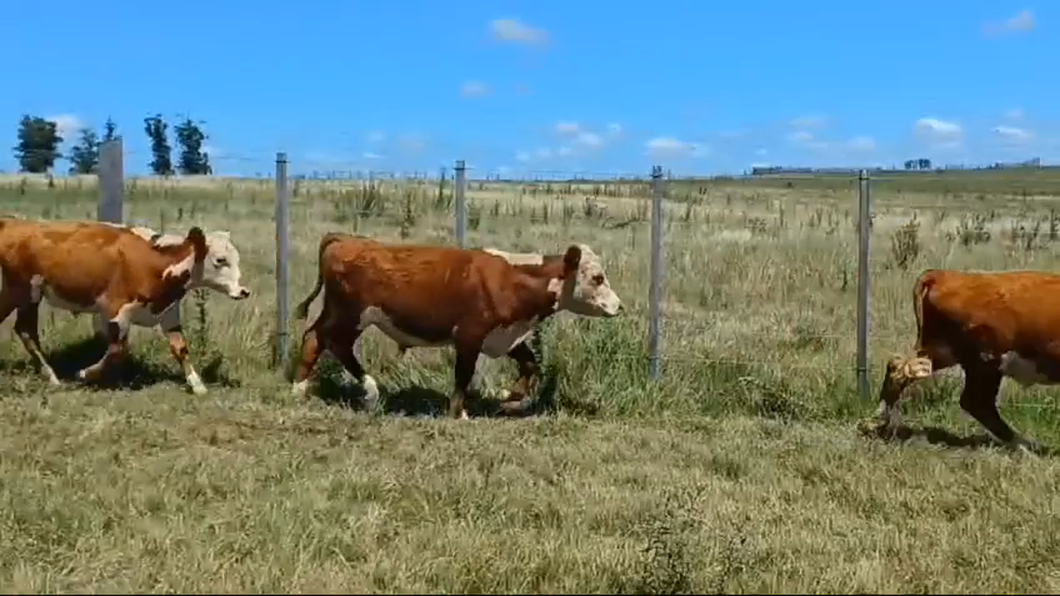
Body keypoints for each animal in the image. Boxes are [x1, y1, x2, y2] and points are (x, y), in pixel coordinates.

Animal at [0, 215, 251, 392]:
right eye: (220, 260)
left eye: (237, 258)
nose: (243, 291)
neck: (156, 262)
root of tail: (11, 222)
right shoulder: (116, 311)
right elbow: (117, 351)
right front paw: (85, 374)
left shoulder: (168, 313)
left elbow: (180, 347)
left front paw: (196, 384)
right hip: (20, 291)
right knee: (25, 329)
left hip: (29, 296)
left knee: (24, 330)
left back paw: (50, 375)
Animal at [290, 232, 619, 417]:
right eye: (597, 277)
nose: (618, 305)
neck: (512, 277)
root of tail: (345, 239)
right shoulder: (470, 336)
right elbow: (462, 376)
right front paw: (458, 413)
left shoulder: (504, 335)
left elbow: (530, 365)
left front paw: (509, 400)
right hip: (350, 314)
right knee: (327, 341)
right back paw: (362, 391)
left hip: (341, 314)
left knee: (318, 339)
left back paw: (305, 388)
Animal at [873, 265, 1060, 449]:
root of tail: (942, 275)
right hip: (985, 363)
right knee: (976, 402)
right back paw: (1023, 445)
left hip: (944, 353)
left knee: (899, 367)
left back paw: (880, 420)